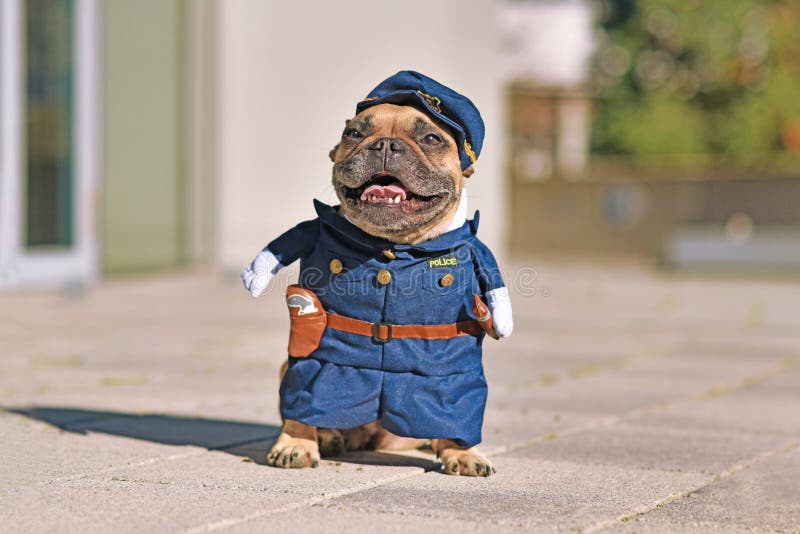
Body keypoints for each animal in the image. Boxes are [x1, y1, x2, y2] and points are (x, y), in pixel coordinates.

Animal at [242, 71, 512, 478]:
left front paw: (464, 452)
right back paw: (328, 436)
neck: (393, 248)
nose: (385, 144)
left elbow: (455, 404)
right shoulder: (313, 362)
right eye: (353, 133)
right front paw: (296, 444)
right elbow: (304, 399)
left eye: (431, 139)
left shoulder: (451, 374)